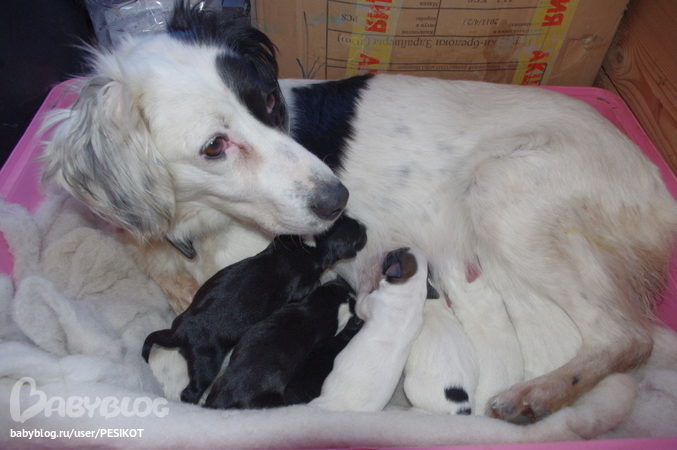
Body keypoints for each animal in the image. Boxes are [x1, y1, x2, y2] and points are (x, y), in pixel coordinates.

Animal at [310, 247, 431, 412]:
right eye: (402, 249)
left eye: (396, 253)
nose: (387, 251)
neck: (411, 289)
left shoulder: (366, 304)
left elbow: (361, 298)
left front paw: (366, 279)